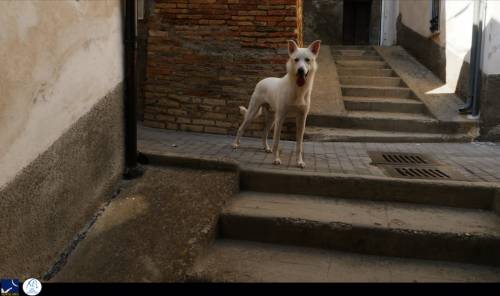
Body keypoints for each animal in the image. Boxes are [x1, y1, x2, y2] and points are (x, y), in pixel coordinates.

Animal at [232, 40, 322, 168]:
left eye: (307, 60)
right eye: (296, 60)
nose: (300, 70)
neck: (297, 90)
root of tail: (262, 80)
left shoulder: (301, 119)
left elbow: (299, 145)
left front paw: (299, 162)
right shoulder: (281, 118)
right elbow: (276, 142)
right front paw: (276, 160)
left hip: (272, 118)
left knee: (264, 133)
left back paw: (266, 148)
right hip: (253, 113)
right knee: (241, 128)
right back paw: (235, 144)